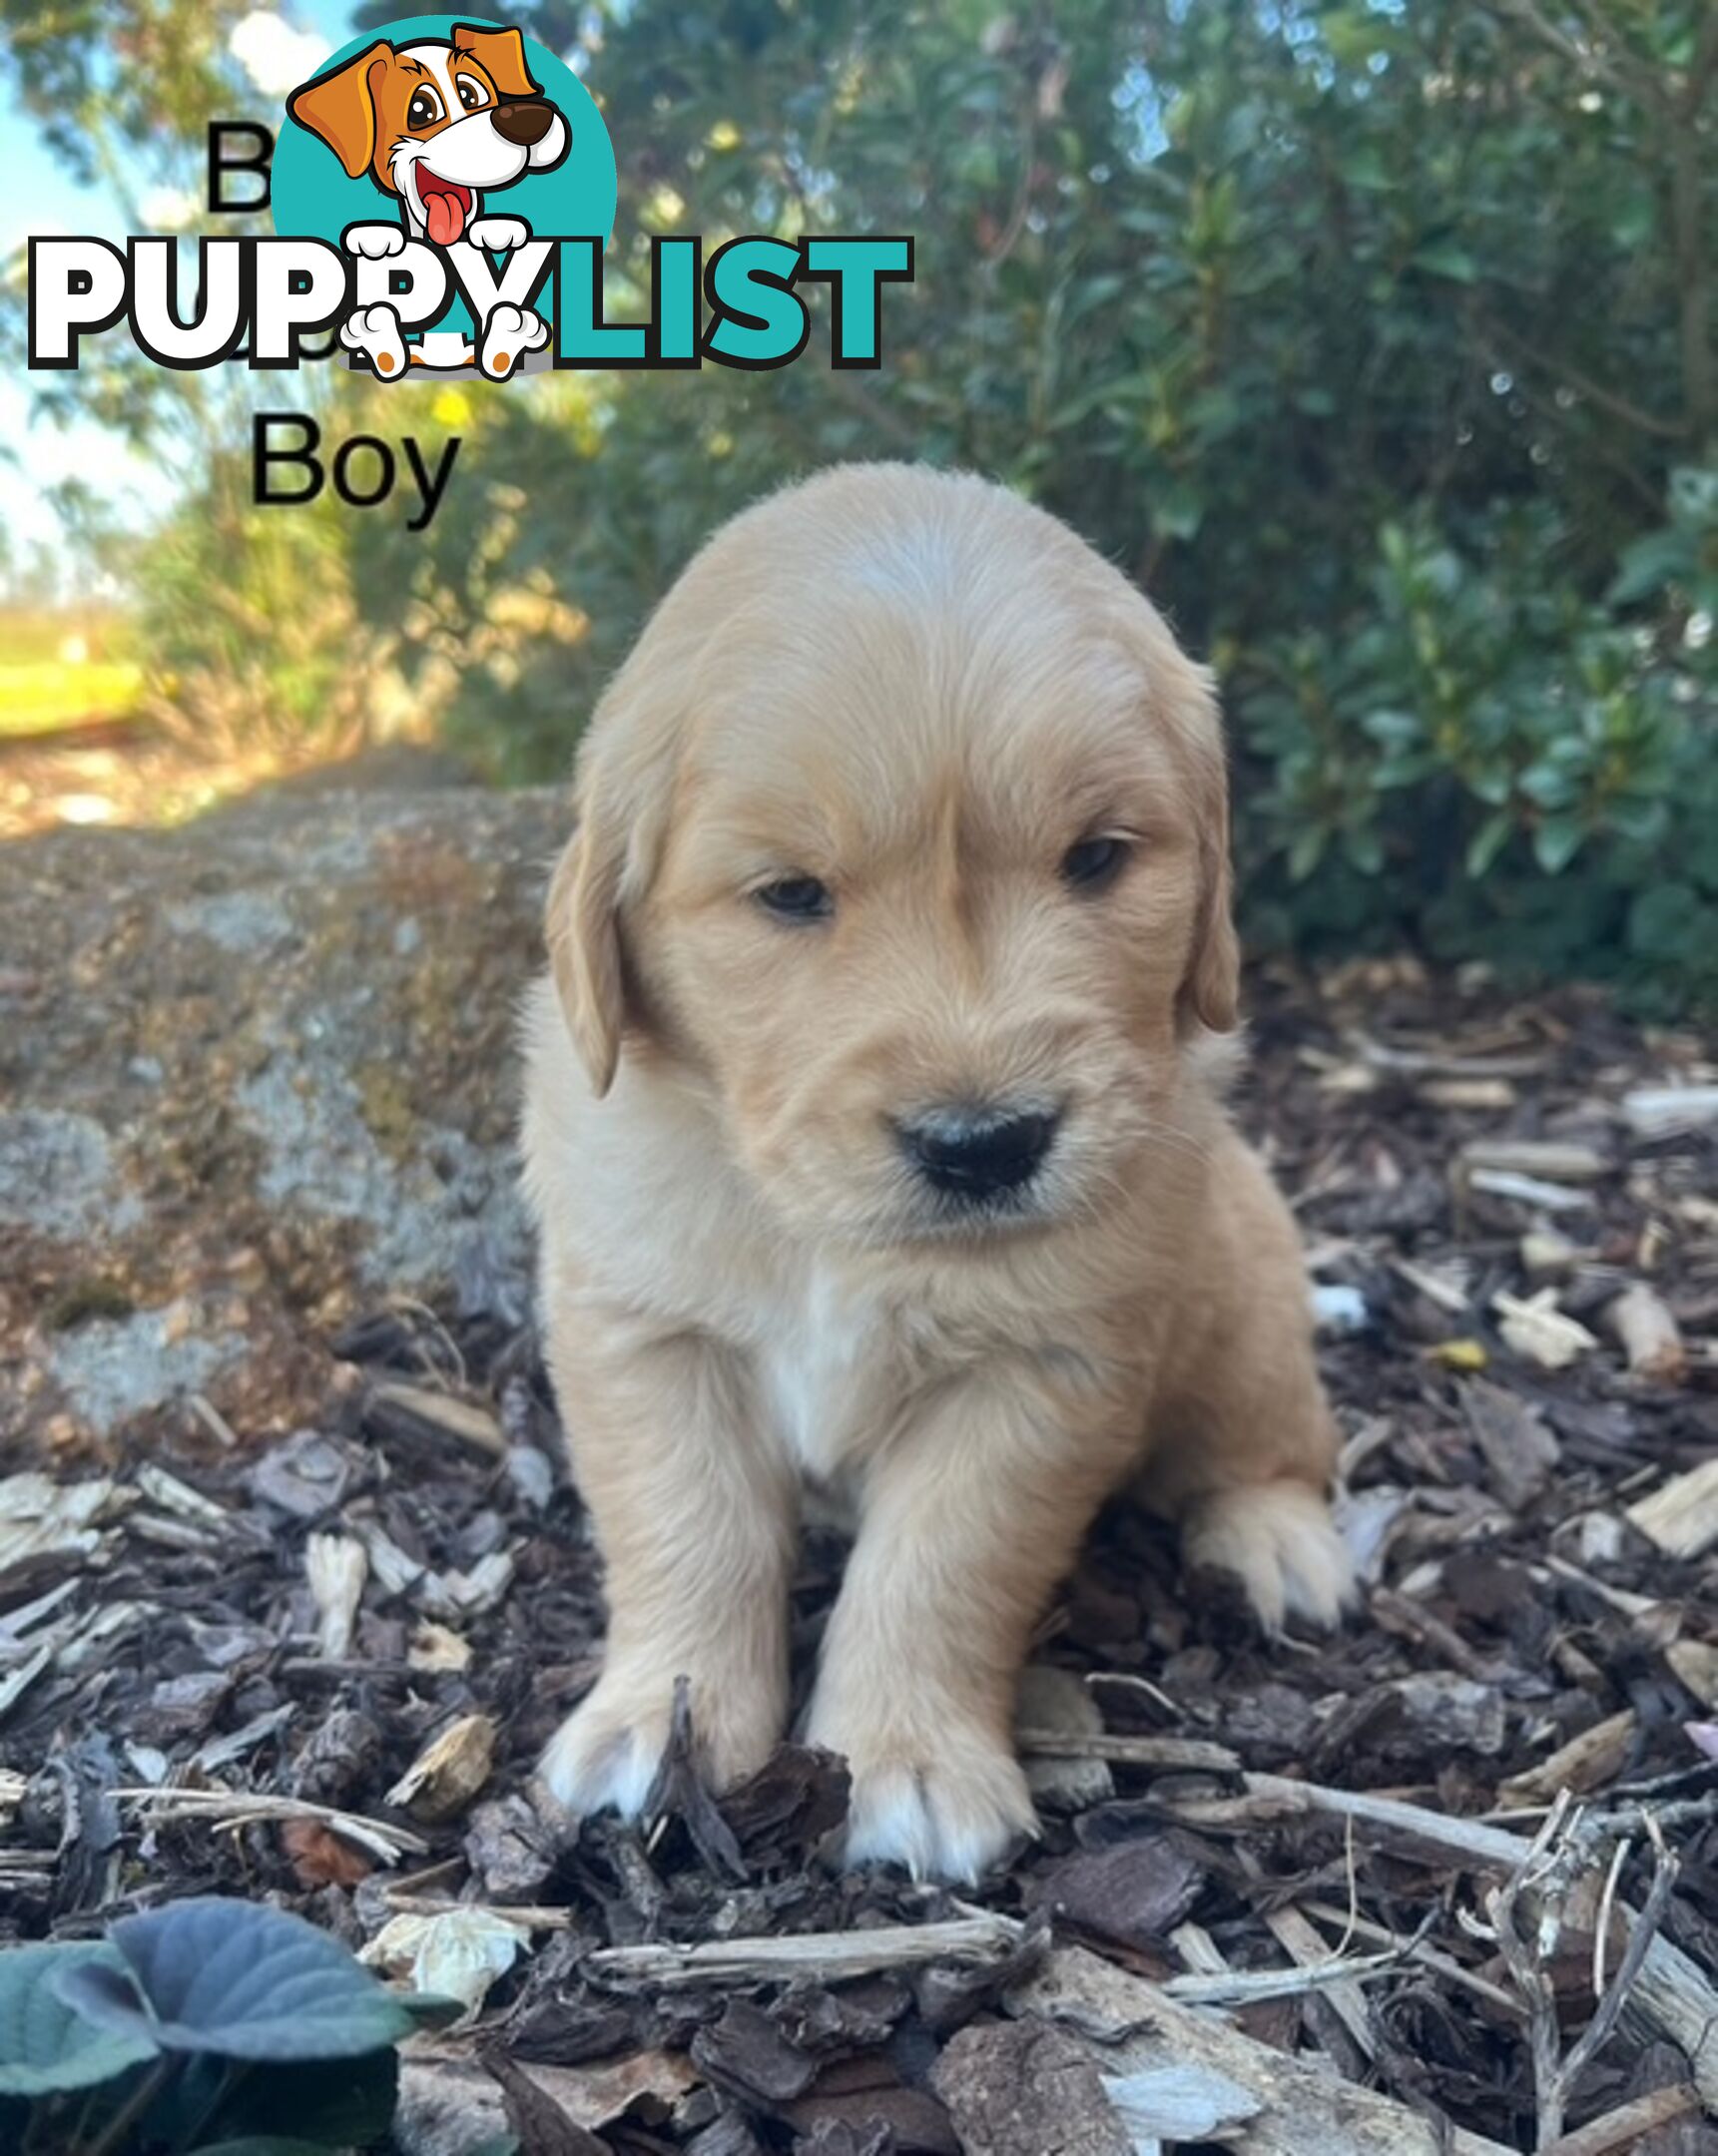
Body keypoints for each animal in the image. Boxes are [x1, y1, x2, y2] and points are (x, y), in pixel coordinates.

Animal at [515, 463, 1345, 1880]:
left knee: (1268, 1439)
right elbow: (685, 1527)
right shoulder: (642, 1331)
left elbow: (942, 1561)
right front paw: (657, 1727)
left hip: (1239, 1302)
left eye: (1096, 857)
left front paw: (902, 1759)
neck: (823, 1232)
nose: (984, 1144)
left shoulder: (1044, 1372)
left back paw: (1278, 1542)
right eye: (790, 894)